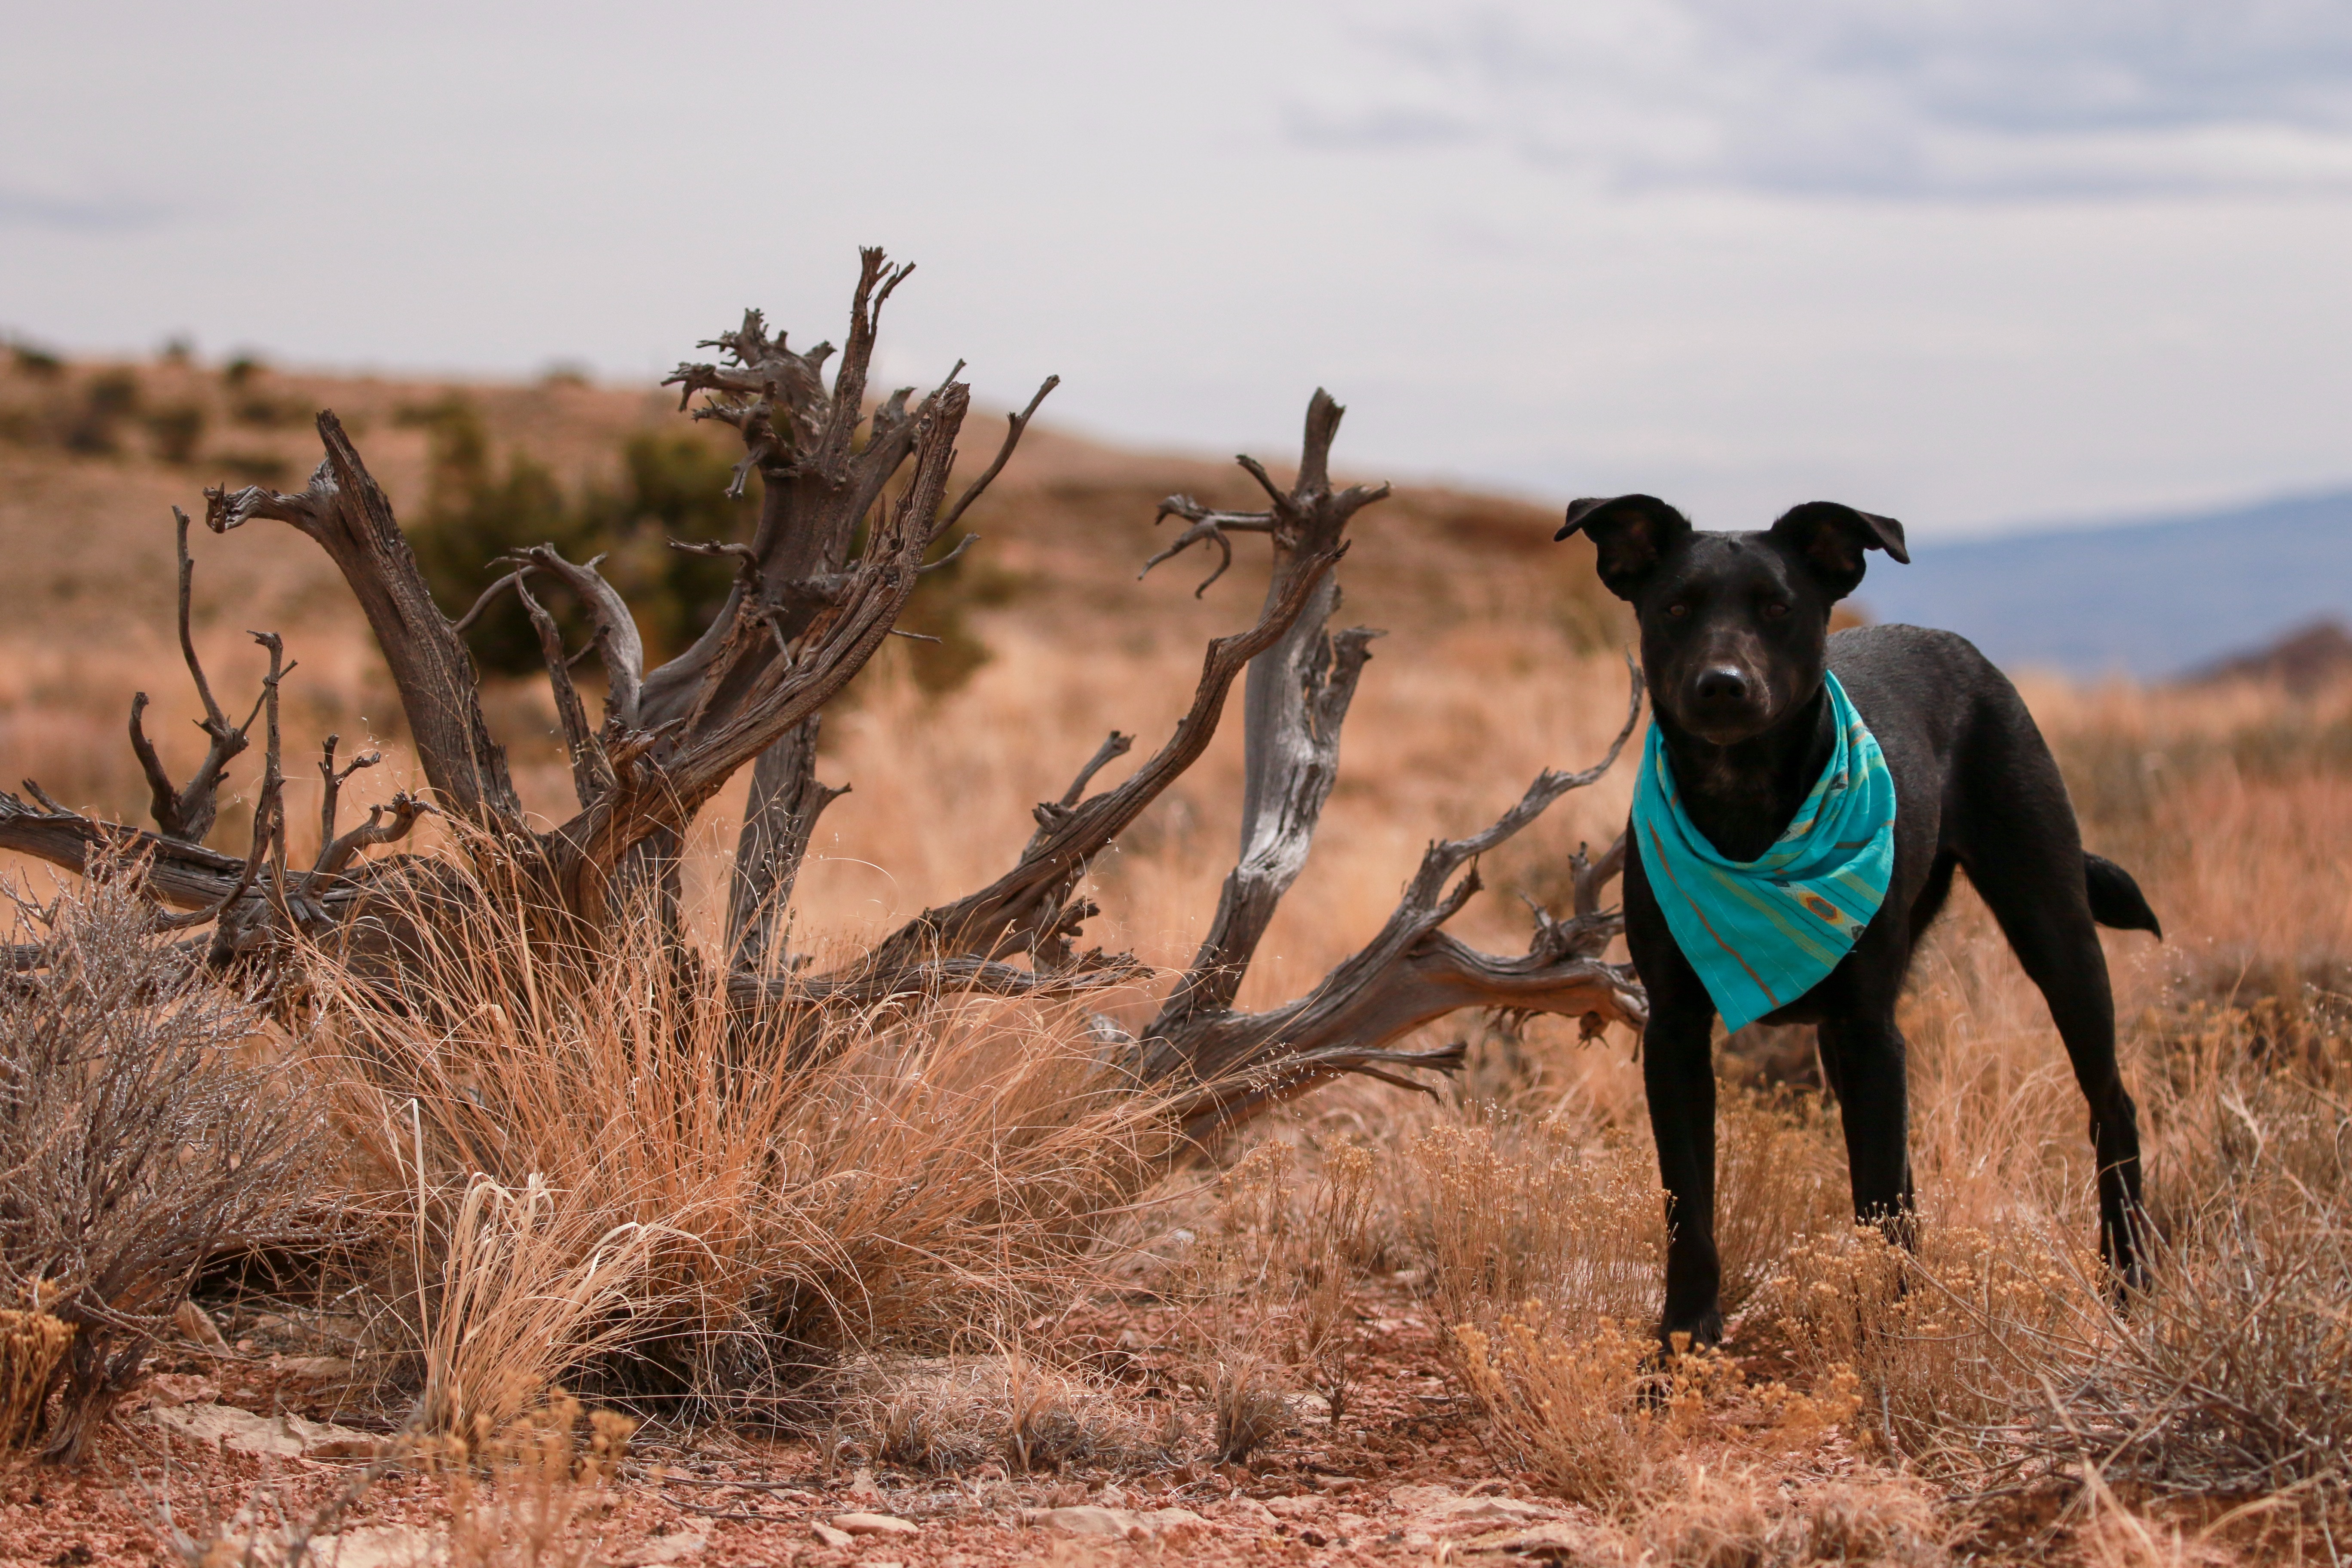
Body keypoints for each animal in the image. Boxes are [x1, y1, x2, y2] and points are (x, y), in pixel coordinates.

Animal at [1552, 493, 2154, 1354]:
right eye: (1674, 608)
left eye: (1779, 608)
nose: (1722, 686)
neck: (1746, 808)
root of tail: (1963, 650)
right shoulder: (1675, 1035)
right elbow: (1689, 1206)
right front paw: (1682, 1341)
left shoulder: (1872, 1030)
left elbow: (1874, 1193)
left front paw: (1890, 1338)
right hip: (1846, 1035)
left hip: (2053, 930)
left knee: (2111, 1105)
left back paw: (2128, 1277)